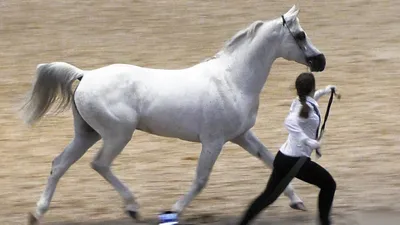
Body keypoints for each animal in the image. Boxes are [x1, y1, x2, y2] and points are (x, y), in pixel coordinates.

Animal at [22, 5, 324, 225]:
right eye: (300, 35)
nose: (320, 60)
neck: (232, 80)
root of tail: (86, 75)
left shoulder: (241, 135)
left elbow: (272, 161)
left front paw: (297, 202)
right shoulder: (213, 142)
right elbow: (201, 180)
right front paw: (174, 210)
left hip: (87, 134)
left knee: (59, 164)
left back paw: (37, 212)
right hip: (117, 135)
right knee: (100, 164)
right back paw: (132, 207)